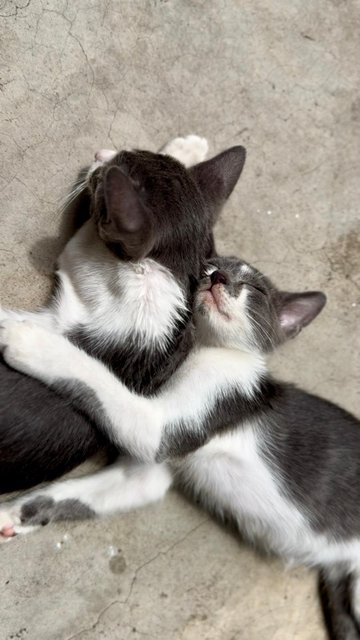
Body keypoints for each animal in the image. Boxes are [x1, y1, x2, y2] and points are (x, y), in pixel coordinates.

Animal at [2, 255, 360, 636]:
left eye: (256, 288)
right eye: (212, 266)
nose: (219, 277)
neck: (204, 349)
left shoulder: (168, 426)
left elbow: (96, 377)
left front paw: (28, 338)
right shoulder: (148, 475)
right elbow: (89, 492)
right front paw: (12, 513)